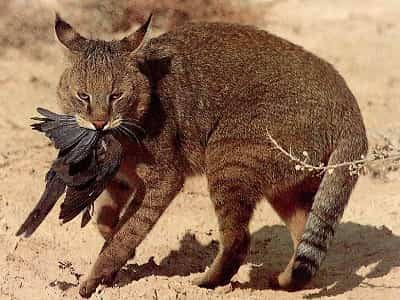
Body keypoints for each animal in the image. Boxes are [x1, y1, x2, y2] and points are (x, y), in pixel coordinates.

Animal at [54, 13, 368, 298]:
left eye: (115, 96)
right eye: (83, 96)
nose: (99, 123)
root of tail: (349, 103)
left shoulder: (164, 179)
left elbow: (127, 231)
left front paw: (97, 275)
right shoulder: (123, 180)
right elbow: (106, 217)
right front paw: (112, 246)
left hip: (228, 160)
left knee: (239, 239)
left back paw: (207, 282)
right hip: (287, 186)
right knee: (304, 235)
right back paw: (284, 281)